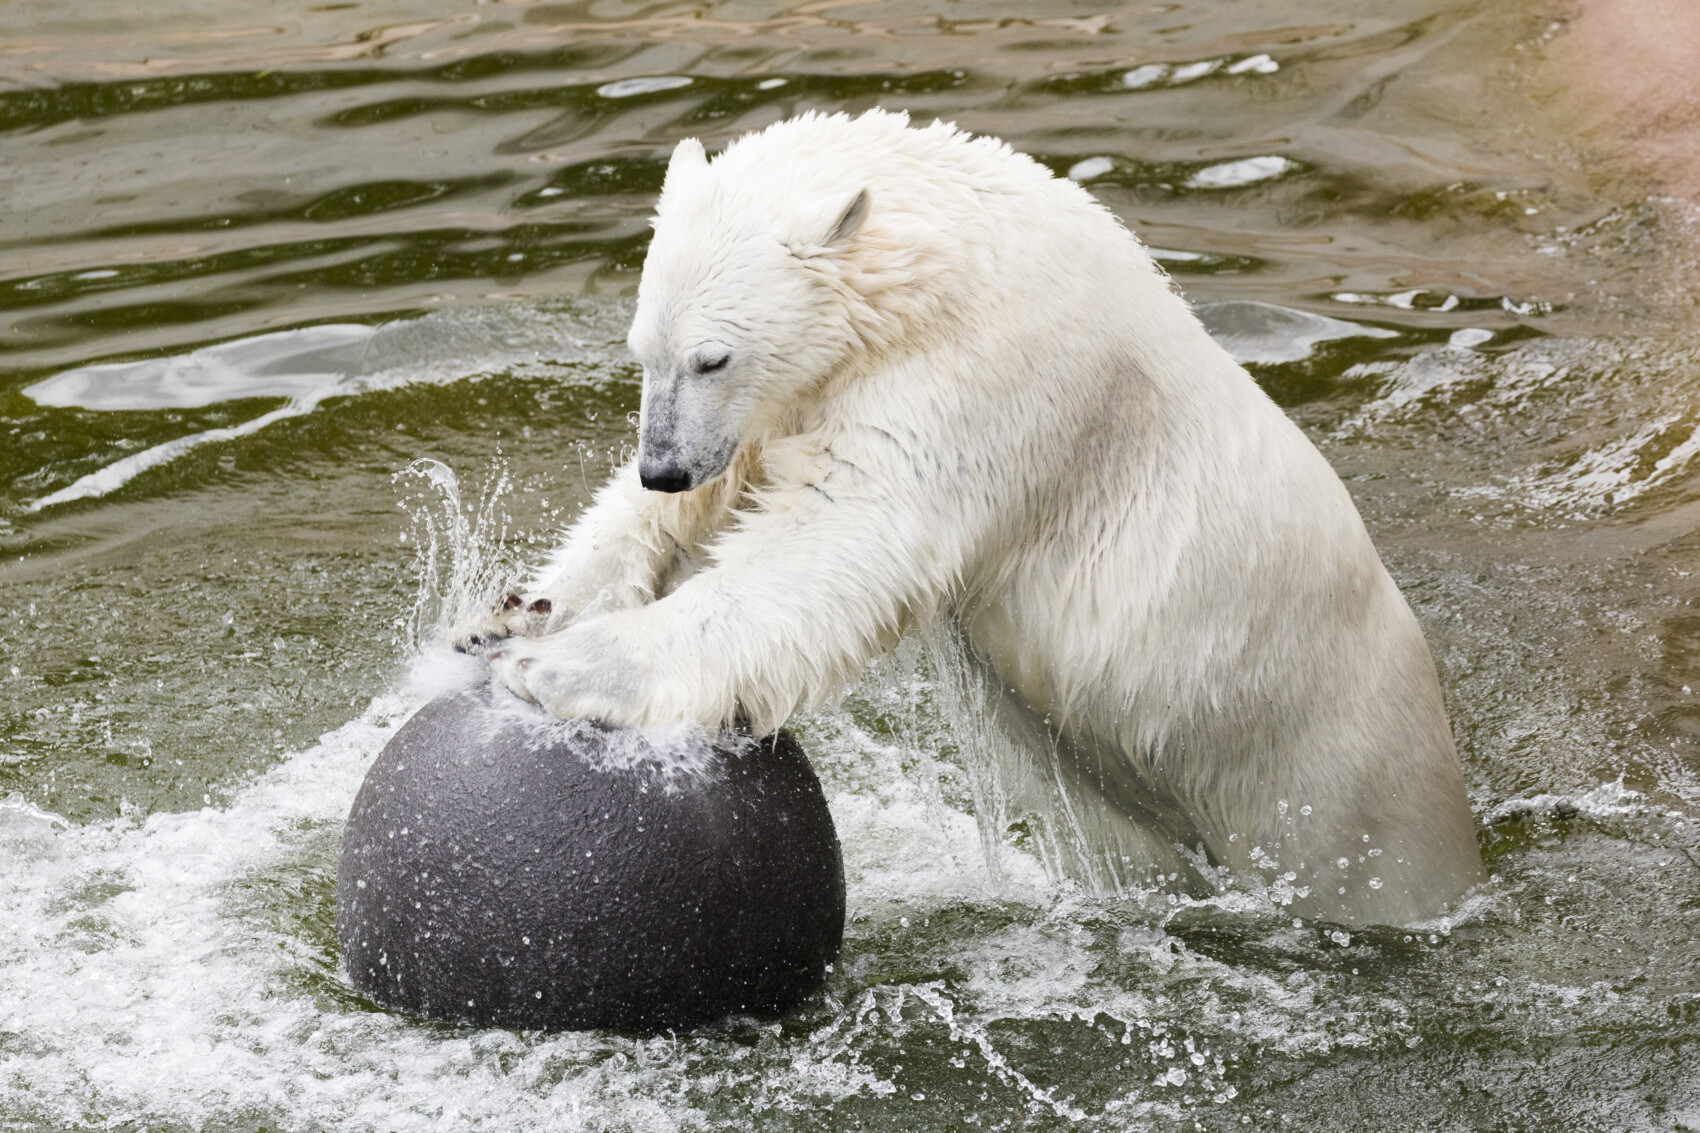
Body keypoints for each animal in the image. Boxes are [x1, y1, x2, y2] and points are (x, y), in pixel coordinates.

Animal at [459, 109, 1484, 926]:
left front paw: (564, 665)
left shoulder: (981, 376)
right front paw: (511, 613)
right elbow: (728, 491)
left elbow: (839, 537)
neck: (944, 250)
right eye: (643, 350)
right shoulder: (808, 393)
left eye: (712, 356)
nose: (664, 464)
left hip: (1332, 769)